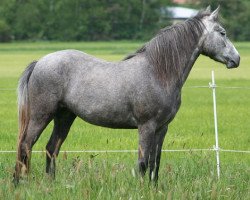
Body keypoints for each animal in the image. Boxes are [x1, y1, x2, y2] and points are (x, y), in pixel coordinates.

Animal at [13, 7, 240, 184]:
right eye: (222, 33)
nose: (236, 59)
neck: (157, 72)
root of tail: (40, 62)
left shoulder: (162, 128)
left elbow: (155, 162)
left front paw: (153, 189)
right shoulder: (146, 126)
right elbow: (143, 162)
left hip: (64, 116)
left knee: (51, 148)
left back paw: (50, 184)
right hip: (41, 115)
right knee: (26, 145)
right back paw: (20, 183)